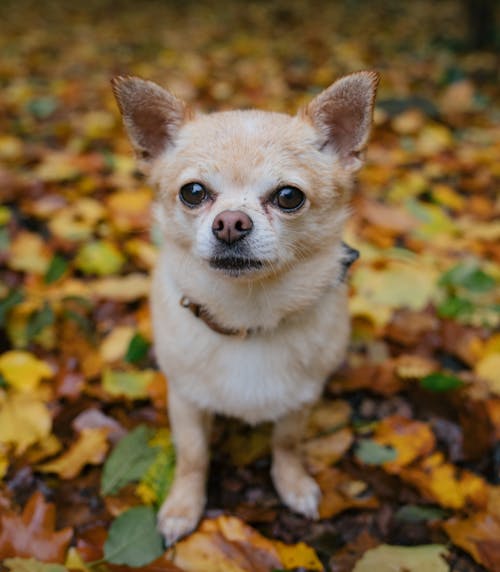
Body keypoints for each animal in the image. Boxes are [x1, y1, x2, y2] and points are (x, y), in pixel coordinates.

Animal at [112, 71, 378, 544]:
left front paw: (293, 484)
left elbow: (286, 444)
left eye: (289, 196)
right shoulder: (184, 399)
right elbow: (193, 455)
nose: (231, 223)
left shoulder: (300, 400)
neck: (247, 318)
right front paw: (183, 507)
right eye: (193, 192)